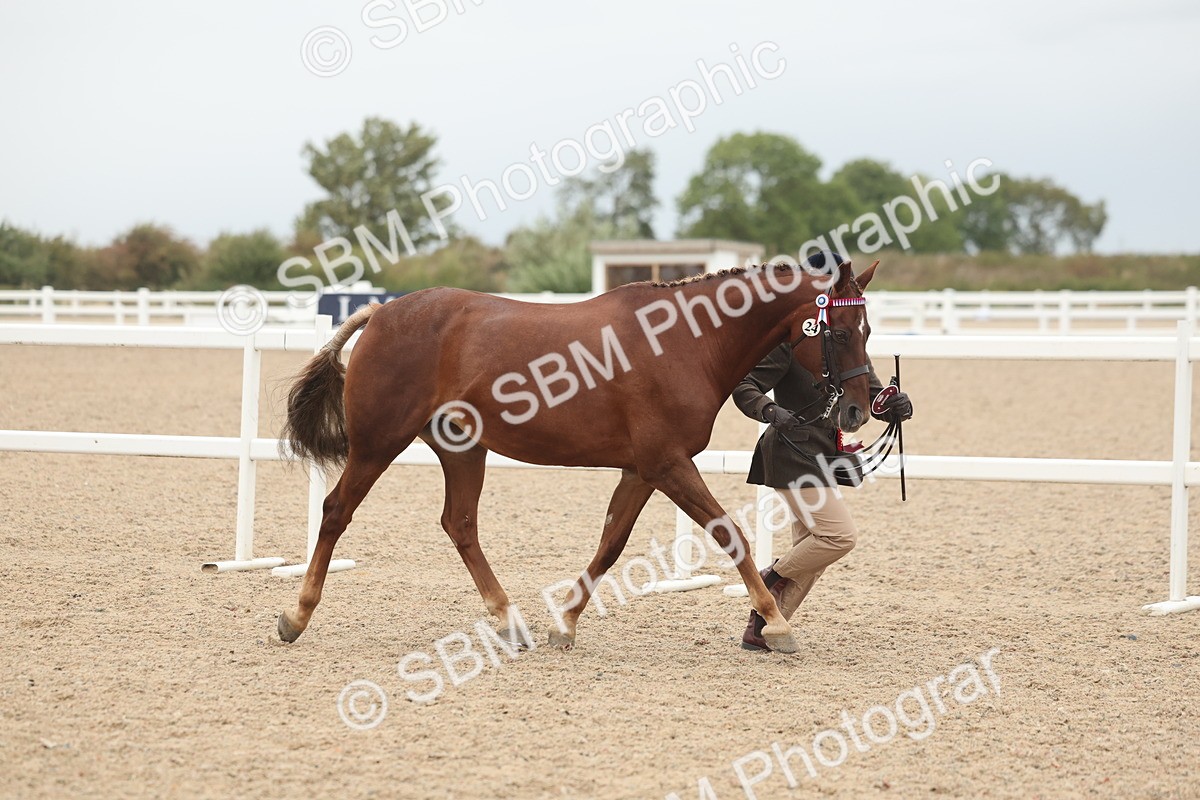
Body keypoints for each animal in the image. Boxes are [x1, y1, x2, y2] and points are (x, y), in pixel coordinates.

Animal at [277, 259, 879, 653]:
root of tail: (380, 313)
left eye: (869, 329)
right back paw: (296, 616)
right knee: (336, 512)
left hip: (462, 449)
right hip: (379, 443)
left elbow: (611, 544)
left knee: (460, 523)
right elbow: (729, 533)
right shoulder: (668, 464)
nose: (857, 409)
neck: (686, 343)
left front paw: (564, 624)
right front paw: (776, 624)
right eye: (839, 331)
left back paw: (509, 621)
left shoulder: (643, 469)